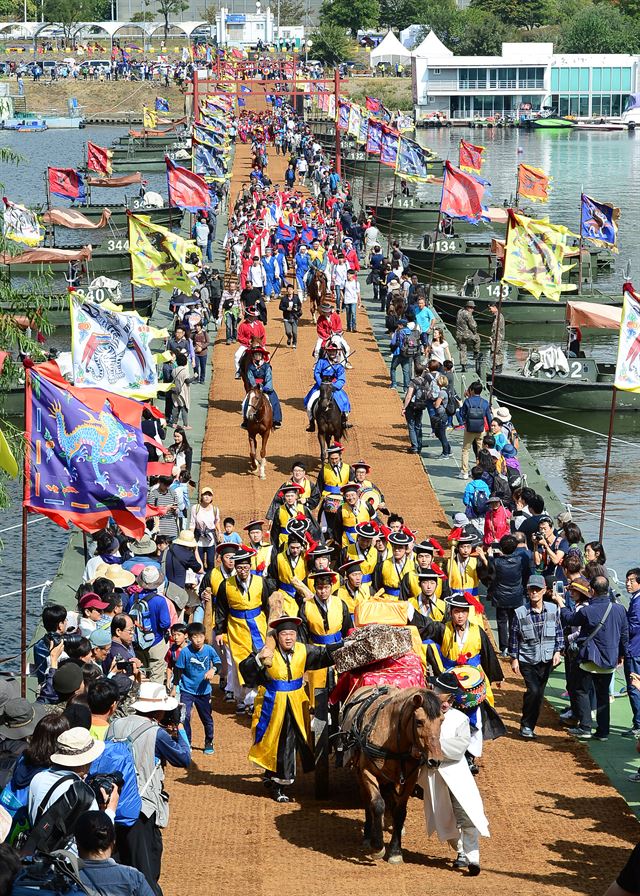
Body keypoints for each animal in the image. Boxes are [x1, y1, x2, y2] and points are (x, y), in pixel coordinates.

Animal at [340, 688, 444, 868]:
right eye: (419, 721)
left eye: (442, 721)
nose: (435, 760)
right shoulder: (367, 772)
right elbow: (377, 804)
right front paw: (377, 846)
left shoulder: (409, 779)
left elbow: (400, 811)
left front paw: (395, 852)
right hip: (360, 773)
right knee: (368, 801)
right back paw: (368, 836)